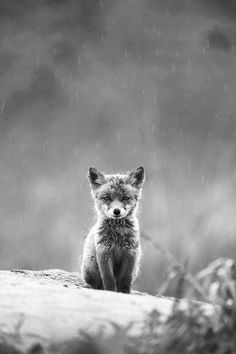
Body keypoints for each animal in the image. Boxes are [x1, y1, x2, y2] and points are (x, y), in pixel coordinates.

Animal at [80, 166, 145, 294]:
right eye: (107, 198)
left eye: (125, 198)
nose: (116, 211)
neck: (118, 234)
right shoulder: (104, 252)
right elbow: (108, 278)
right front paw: (110, 291)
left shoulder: (130, 253)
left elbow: (125, 279)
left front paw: (124, 293)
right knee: (97, 283)